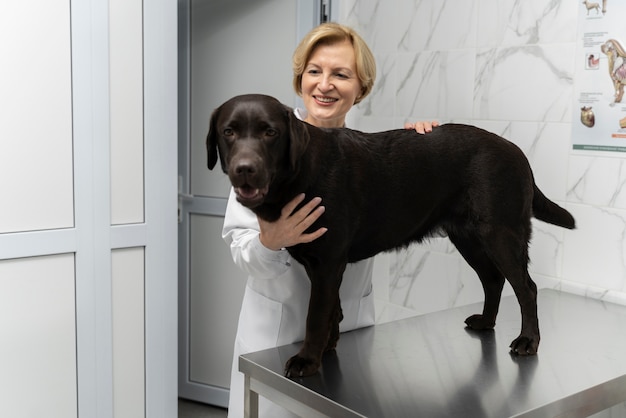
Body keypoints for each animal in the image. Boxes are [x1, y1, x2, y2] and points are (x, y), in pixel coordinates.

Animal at [206, 93, 576, 378]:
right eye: (229, 132)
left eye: (270, 132)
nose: (245, 169)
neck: (298, 174)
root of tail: (518, 151)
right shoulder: (323, 265)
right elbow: (333, 309)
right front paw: (329, 347)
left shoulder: (327, 262)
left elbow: (316, 315)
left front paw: (308, 360)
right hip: (469, 238)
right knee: (493, 279)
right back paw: (486, 321)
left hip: (500, 234)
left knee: (526, 287)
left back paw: (528, 340)